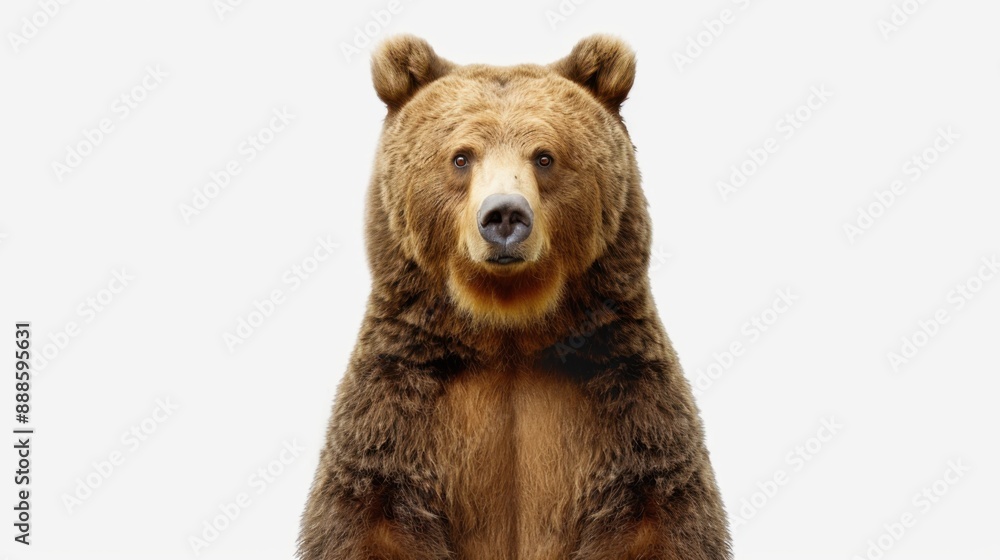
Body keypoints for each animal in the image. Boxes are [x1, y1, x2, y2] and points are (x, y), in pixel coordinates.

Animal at [299, 35, 732, 560]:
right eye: (461, 156)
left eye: (544, 156)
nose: (504, 215)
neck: (508, 326)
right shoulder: (402, 399)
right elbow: (369, 510)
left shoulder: (622, 393)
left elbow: (659, 509)